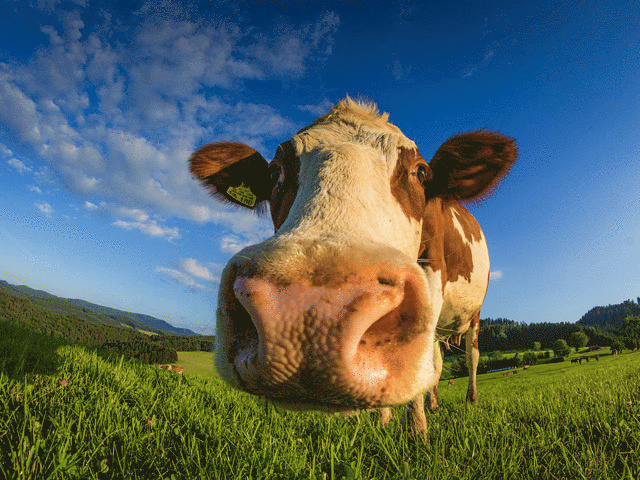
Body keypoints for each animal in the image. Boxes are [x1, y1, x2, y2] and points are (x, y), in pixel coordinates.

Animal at [190, 97, 516, 440]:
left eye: (420, 171)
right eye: (273, 172)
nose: (310, 314)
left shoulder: (434, 275)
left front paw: (415, 432)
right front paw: (384, 418)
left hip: (474, 313)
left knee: (470, 355)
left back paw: (470, 399)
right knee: (437, 359)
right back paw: (433, 403)